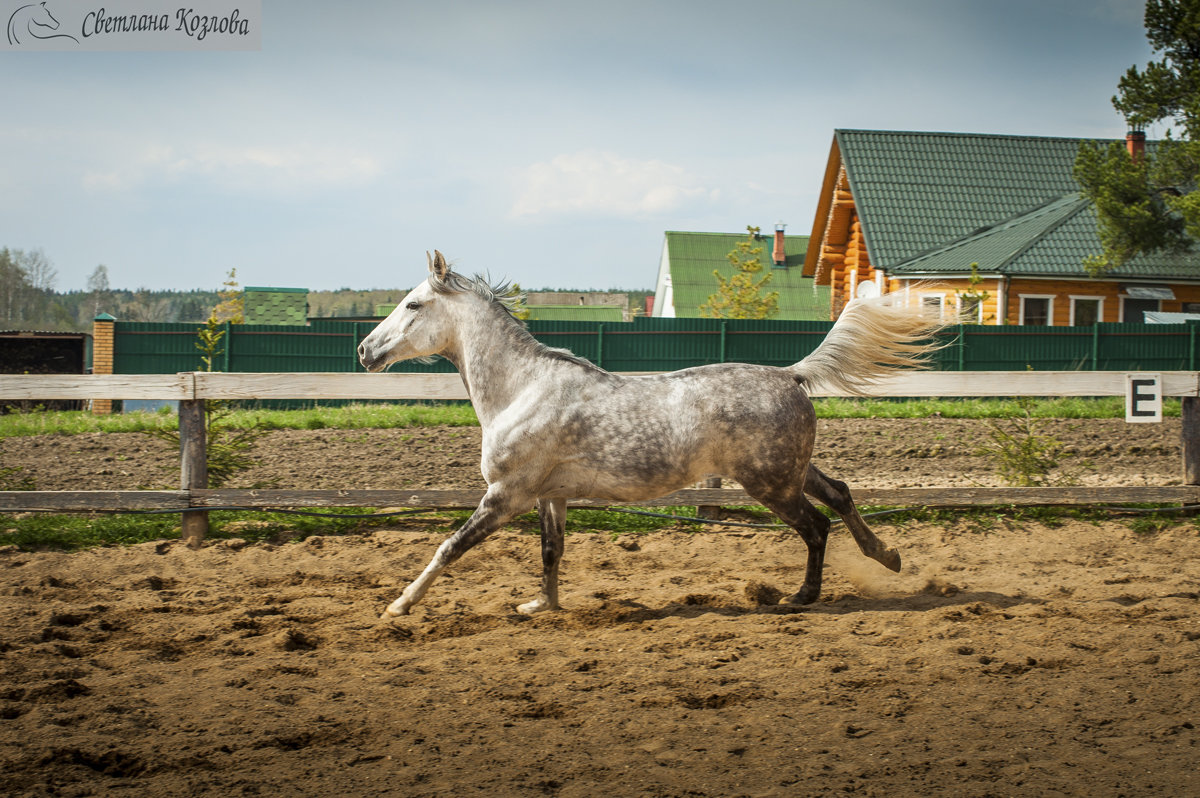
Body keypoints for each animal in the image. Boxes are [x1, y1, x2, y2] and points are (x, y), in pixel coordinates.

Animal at [360, 249, 940, 614]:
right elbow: (551, 551)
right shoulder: (551, 495)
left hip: (770, 484)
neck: (520, 390)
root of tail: (789, 374)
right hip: (790, 471)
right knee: (840, 494)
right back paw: (888, 557)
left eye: (412, 304)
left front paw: (398, 605)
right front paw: (541, 605)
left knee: (816, 526)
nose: (365, 351)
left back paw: (801, 597)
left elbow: (449, 547)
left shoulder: (506, 495)